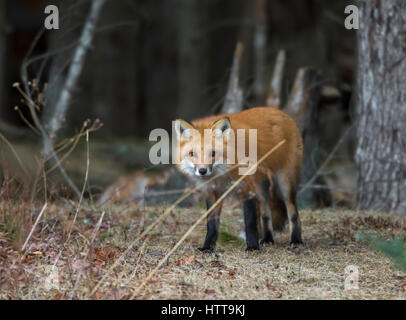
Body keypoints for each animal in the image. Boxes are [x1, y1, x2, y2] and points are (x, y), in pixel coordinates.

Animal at [173, 106, 302, 251]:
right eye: (192, 154)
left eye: (213, 153)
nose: (202, 171)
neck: (222, 173)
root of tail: (280, 112)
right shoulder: (212, 192)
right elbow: (211, 224)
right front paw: (207, 247)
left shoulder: (246, 188)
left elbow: (250, 222)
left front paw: (252, 247)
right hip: (261, 187)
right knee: (266, 213)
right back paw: (268, 239)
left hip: (285, 183)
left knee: (293, 212)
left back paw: (296, 240)